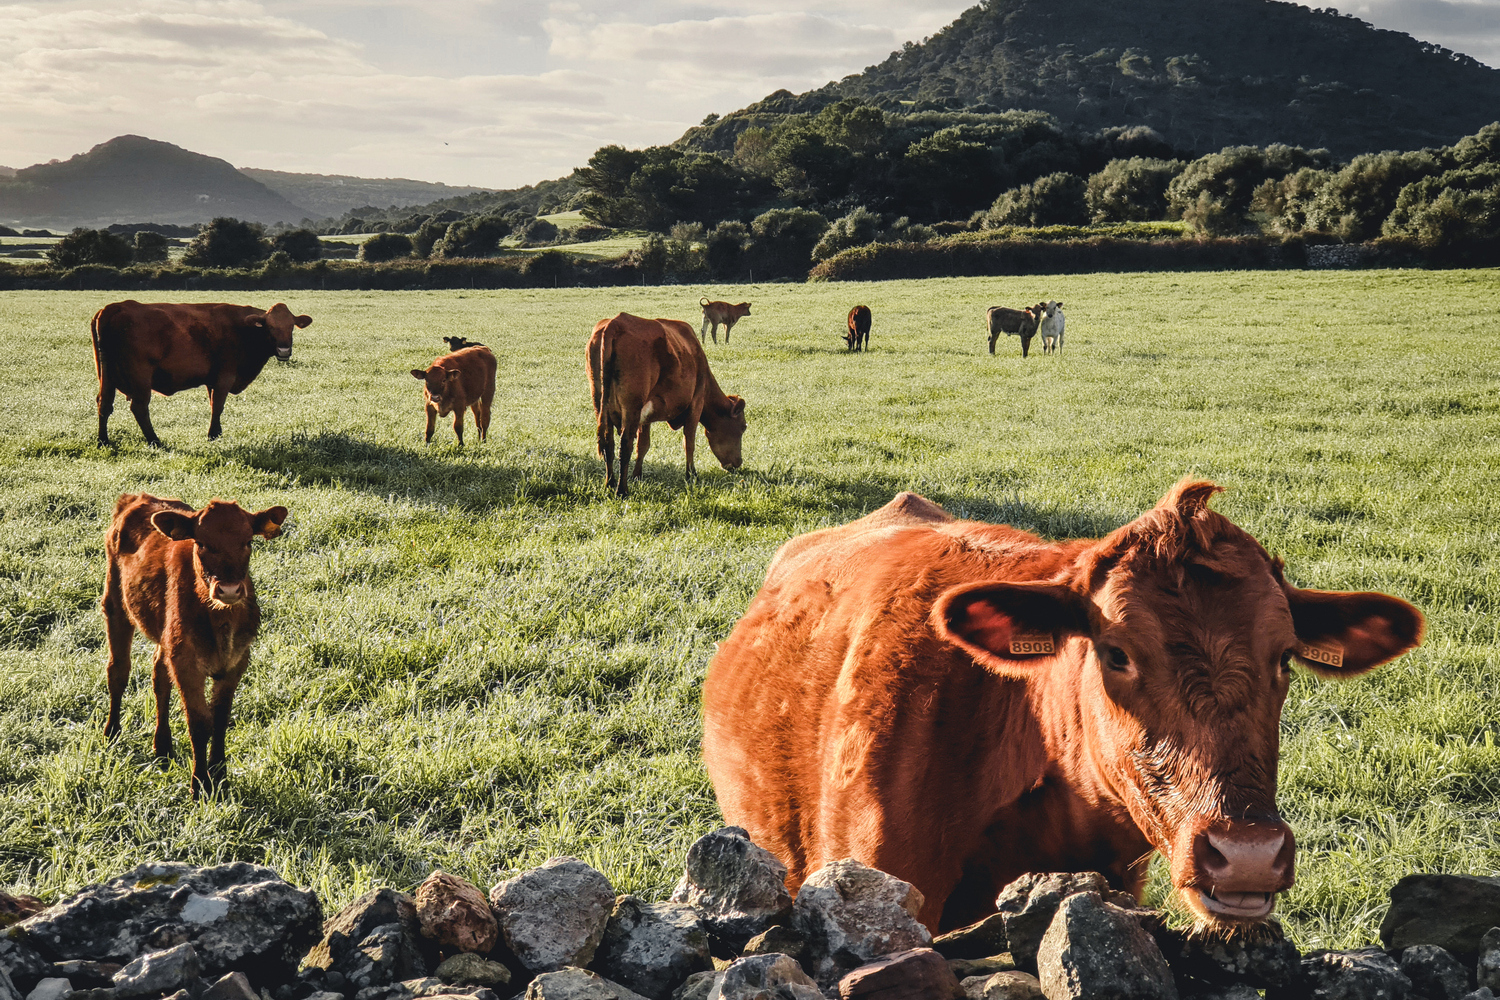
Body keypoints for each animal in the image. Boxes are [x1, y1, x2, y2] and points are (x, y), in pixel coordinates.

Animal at [91, 299, 313, 446]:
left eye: (291, 327)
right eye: (269, 327)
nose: (284, 350)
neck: (243, 329)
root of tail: (114, 307)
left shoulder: (211, 380)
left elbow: (213, 403)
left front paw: (217, 432)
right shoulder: (225, 377)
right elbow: (218, 406)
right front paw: (213, 434)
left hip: (107, 376)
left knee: (104, 403)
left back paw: (103, 440)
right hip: (140, 379)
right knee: (139, 408)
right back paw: (155, 441)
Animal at [102, 491, 286, 797]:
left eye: (248, 542)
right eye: (201, 543)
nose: (229, 589)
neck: (220, 620)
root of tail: (138, 497)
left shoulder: (238, 660)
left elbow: (220, 717)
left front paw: (220, 773)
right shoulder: (186, 662)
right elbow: (199, 722)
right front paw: (200, 783)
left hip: (165, 635)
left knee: (159, 676)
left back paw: (163, 746)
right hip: (115, 604)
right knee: (118, 670)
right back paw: (112, 732)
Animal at [588, 308, 747, 497]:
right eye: (743, 427)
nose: (738, 462)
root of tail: (615, 323)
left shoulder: (645, 416)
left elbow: (643, 445)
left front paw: (637, 475)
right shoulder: (696, 402)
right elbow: (689, 442)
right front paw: (691, 474)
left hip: (599, 403)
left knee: (608, 444)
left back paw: (610, 483)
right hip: (632, 406)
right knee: (624, 445)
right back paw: (622, 490)